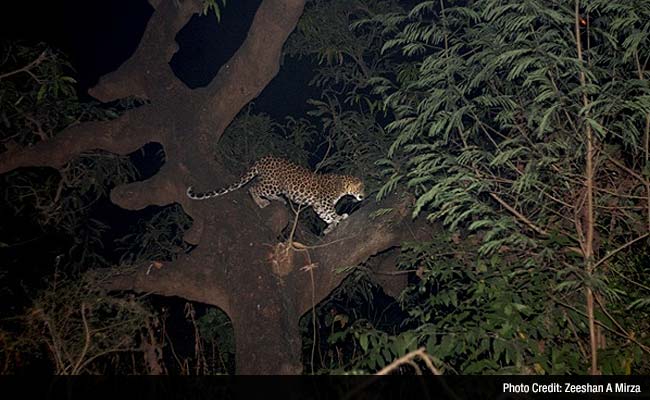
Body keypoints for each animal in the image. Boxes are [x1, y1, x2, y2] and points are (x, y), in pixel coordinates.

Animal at [186, 155, 364, 233]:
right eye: (363, 188)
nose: (364, 195)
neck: (344, 185)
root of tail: (263, 159)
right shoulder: (324, 201)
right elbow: (330, 212)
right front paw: (340, 217)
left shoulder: (318, 204)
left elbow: (325, 216)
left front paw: (331, 225)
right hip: (274, 184)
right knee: (253, 188)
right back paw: (261, 202)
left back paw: (278, 200)